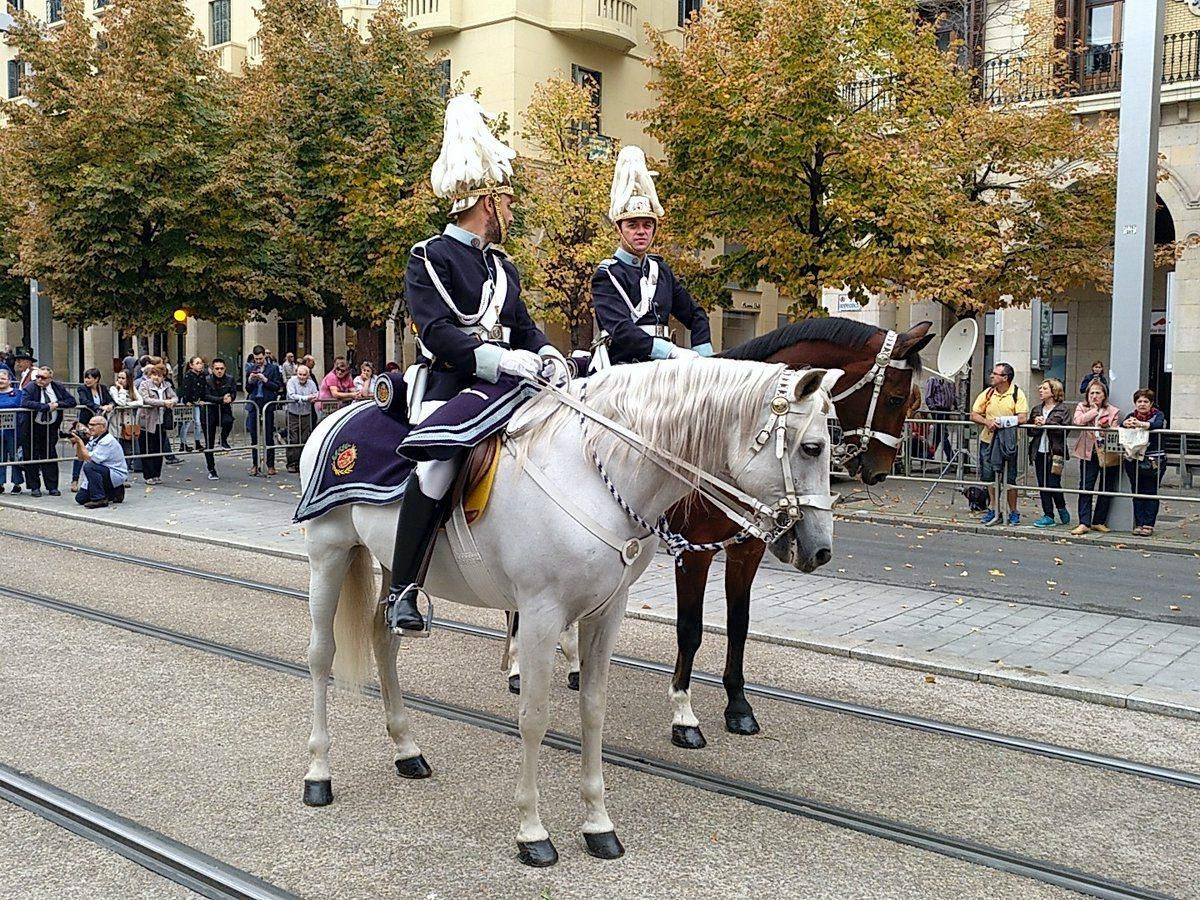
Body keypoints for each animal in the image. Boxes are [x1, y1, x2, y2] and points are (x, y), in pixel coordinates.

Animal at [298, 357, 840, 868]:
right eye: (812, 447)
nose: (818, 550)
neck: (591, 475)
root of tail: (340, 416)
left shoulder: (606, 612)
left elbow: (593, 710)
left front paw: (599, 824)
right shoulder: (541, 615)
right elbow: (534, 718)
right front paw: (532, 832)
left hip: (393, 565)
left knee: (384, 639)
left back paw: (407, 751)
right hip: (327, 554)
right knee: (321, 657)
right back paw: (318, 774)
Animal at [662, 321, 931, 748]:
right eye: (894, 398)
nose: (879, 471)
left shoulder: (747, 549)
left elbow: (739, 623)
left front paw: (738, 706)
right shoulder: (693, 552)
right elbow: (690, 630)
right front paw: (684, 716)